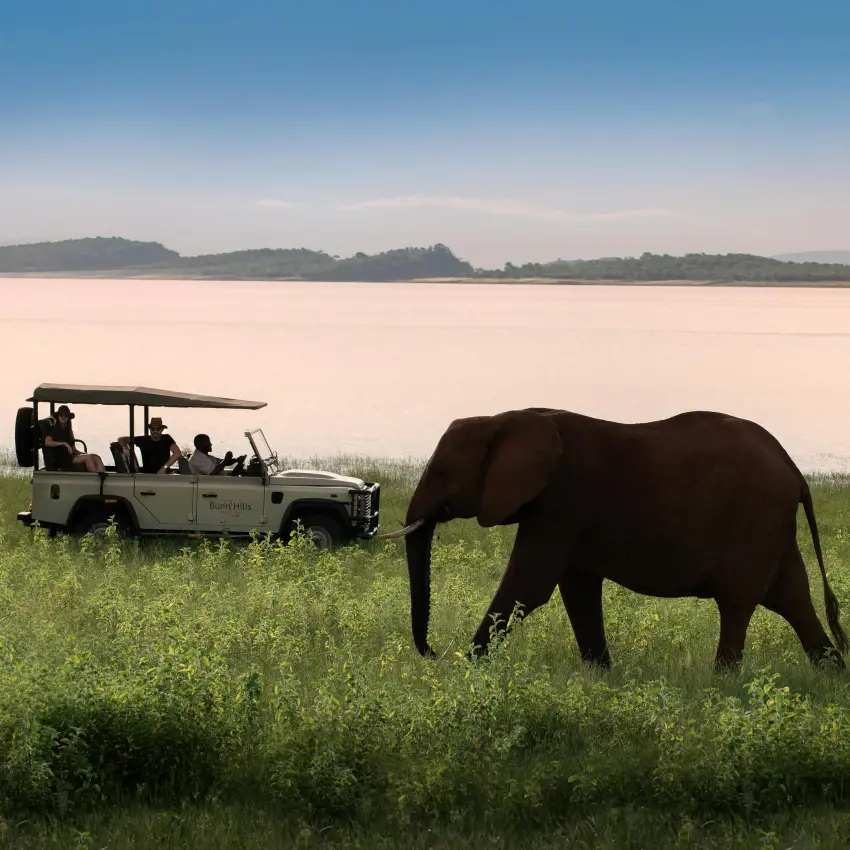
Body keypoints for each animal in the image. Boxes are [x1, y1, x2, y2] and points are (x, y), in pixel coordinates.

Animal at [377, 407, 848, 672]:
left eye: (441, 472)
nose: (435, 654)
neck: (508, 417)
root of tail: (795, 471)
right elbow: (577, 590)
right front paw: (602, 678)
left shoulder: (562, 502)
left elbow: (529, 587)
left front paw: (466, 670)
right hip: (773, 527)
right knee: (793, 599)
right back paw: (832, 675)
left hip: (755, 519)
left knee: (737, 604)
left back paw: (721, 686)